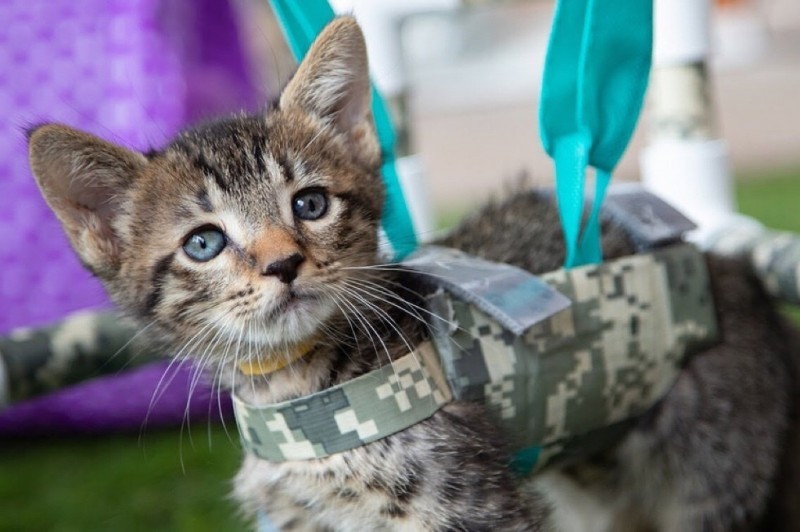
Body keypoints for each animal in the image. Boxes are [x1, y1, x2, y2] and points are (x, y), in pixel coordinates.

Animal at [26, 16, 800, 532]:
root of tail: (727, 263)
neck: (301, 393)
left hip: (714, 471)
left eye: (310, 204)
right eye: (205, 243)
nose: (283, 263)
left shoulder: (474, 506)